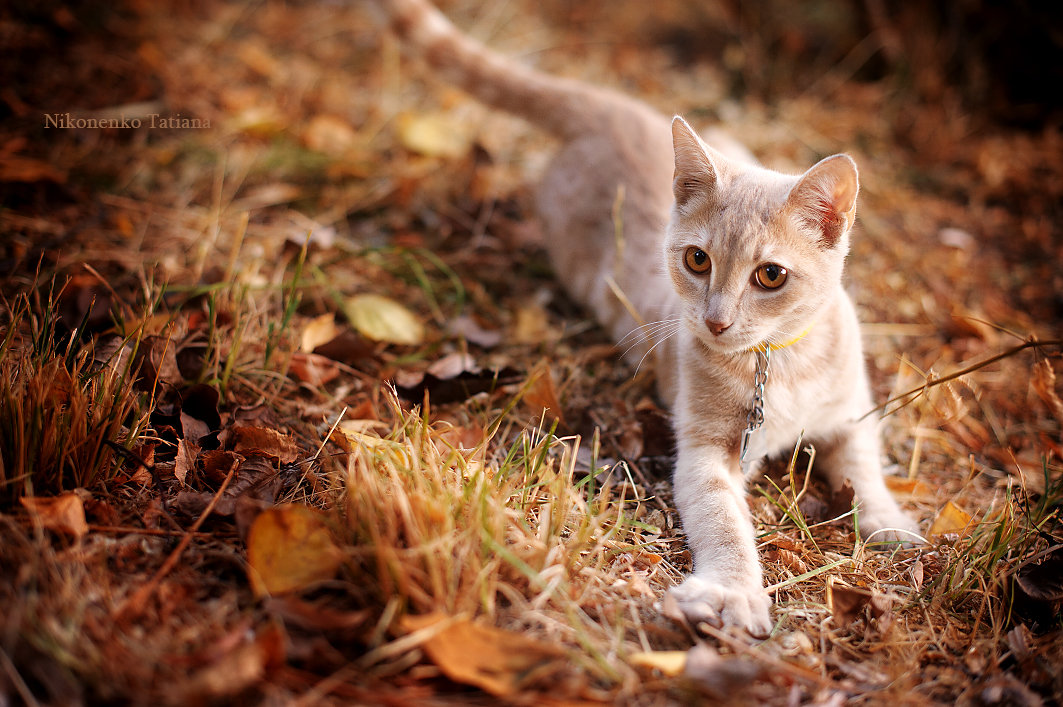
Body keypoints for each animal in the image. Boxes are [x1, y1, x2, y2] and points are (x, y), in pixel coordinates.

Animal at [382, 0, 922, 633]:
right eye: (697, 260)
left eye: (770, 275)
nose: (715, 321)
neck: (780, 362)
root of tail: (616, 109)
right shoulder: (705, 452)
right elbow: (724, 522)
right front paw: (731, 591)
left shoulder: (852, 416)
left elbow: (865, 471)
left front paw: (891, 522)